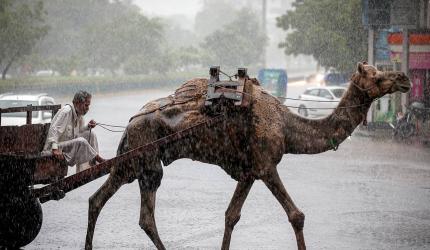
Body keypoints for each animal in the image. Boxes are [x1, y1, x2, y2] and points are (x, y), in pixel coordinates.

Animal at [83, 62, 410, 248]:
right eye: (376, 76)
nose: (404, 78)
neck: (287, 127)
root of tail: (130, 121)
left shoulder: (249, 171)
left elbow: (231, 215)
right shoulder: (266, 165)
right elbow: (297, 215)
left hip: (138, 164)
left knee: (114, 205)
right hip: (143, 160)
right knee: (123, 207)